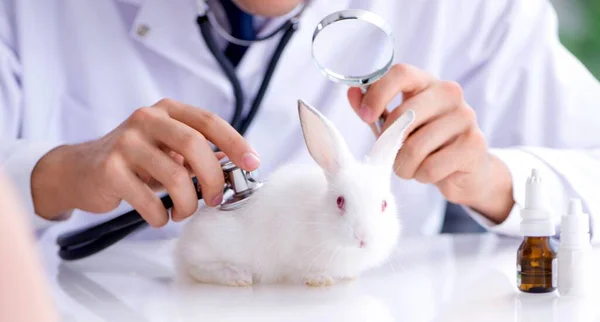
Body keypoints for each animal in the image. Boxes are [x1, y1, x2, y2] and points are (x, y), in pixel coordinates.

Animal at [176, 98, 414, 286]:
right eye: (340, 201)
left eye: (384, 204)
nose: (362, 238)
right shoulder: (293, 254)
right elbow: (300, 271)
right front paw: (320, 280)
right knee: (196, 267)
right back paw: (238, 276)